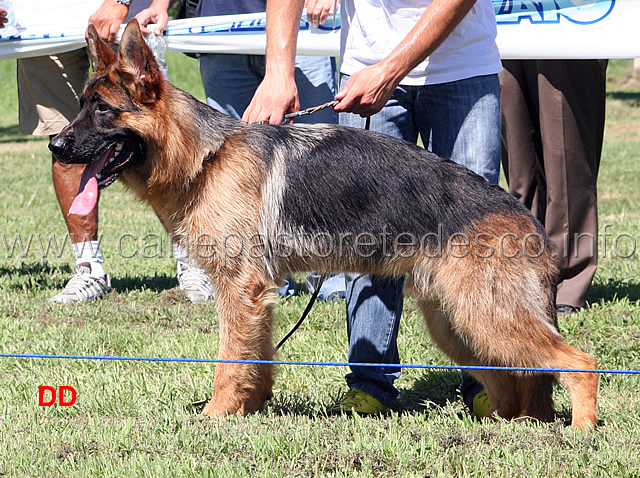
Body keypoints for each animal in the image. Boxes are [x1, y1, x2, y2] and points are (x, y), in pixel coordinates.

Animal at [50, 20, 600, 428]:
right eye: (79, 107)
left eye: (103, 111)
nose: (55, 146)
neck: (205, 157)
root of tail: (525, 215)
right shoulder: (258, 295)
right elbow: (256, 358)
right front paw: (253, 408)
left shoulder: (239, 289)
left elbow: (229, 361)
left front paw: (215, 416)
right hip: (457, 322)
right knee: (513, 380)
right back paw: (505, 427)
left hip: (486, 316)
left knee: (579, 363)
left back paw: (579, 431)